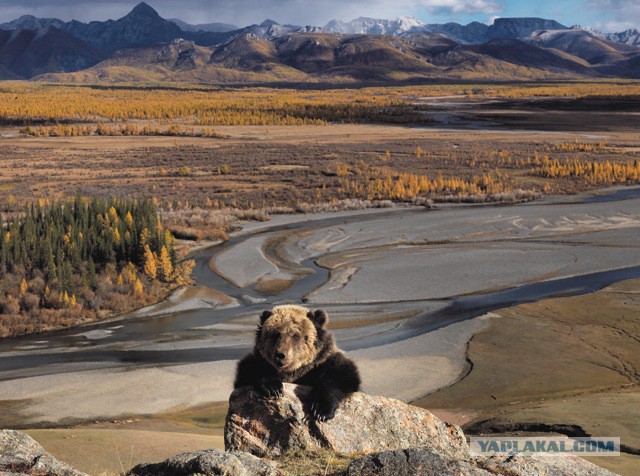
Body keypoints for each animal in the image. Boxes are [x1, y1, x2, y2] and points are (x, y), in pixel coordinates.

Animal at [232, 304, 360, 420]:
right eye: (275, 333)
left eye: (295, 335)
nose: (280, 355)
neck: (293, 373)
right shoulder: (256, 362)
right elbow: (251, 370)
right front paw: (273, 388)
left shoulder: (321, 363)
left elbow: (340, 375)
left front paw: (320, 410)